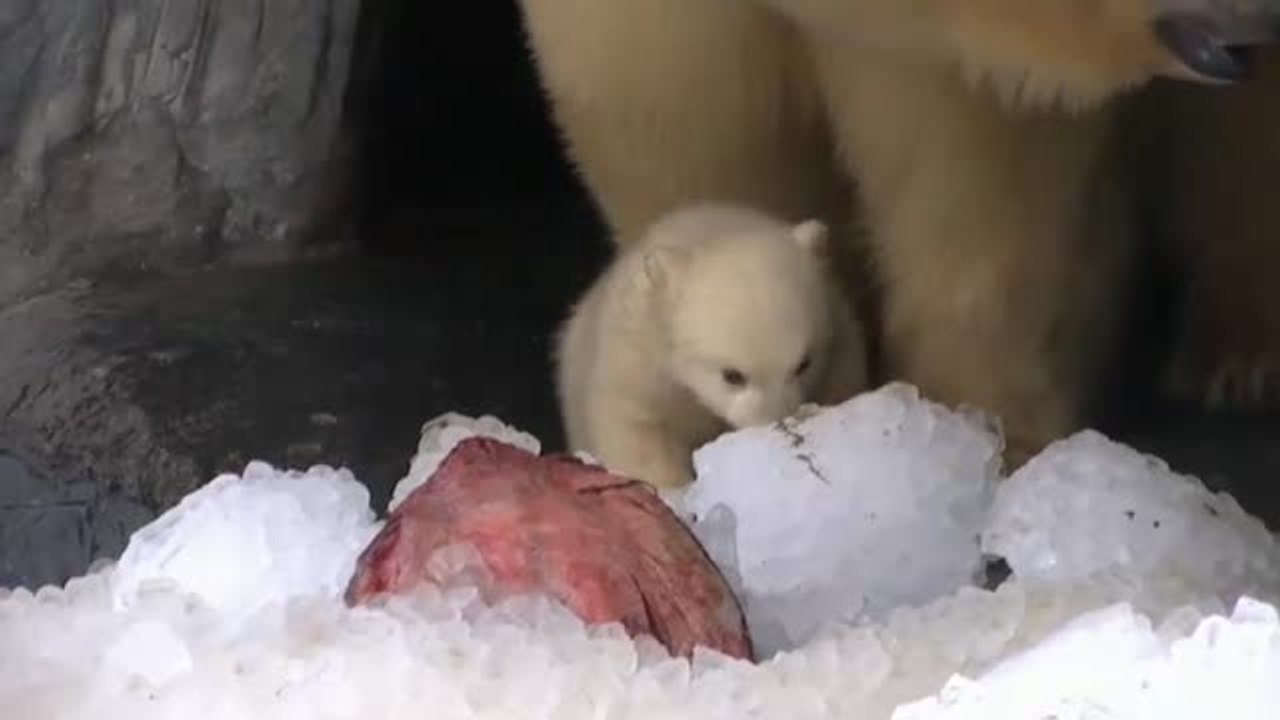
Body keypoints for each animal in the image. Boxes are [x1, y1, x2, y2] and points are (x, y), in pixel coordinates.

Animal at [553, 202, 869, 489]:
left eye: (804, 364)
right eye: (732, 375)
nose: (775, 422)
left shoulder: (840, 336)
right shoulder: (639, 361)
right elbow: (634, 427)